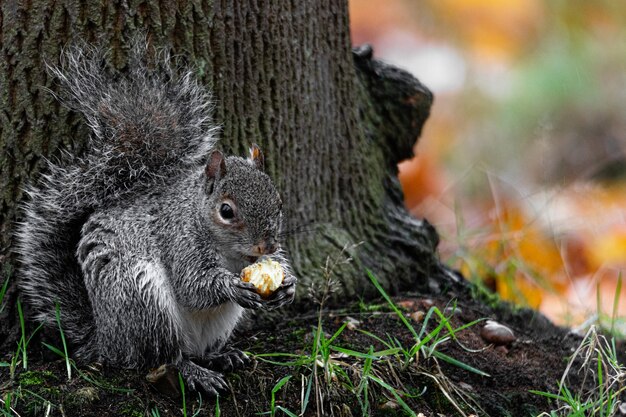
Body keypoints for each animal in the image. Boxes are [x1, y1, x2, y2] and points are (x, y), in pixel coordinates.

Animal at [14, 42, 296, 394]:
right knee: (162, 358)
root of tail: (106, 341)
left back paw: (222, 355)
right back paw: (194, 372)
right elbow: (193, 285)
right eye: (226, 211)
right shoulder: (180, 241)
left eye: (279, 201)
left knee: (198, 350)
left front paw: (288, 286)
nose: (266, 247)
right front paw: (232, 286)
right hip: (143, 302)